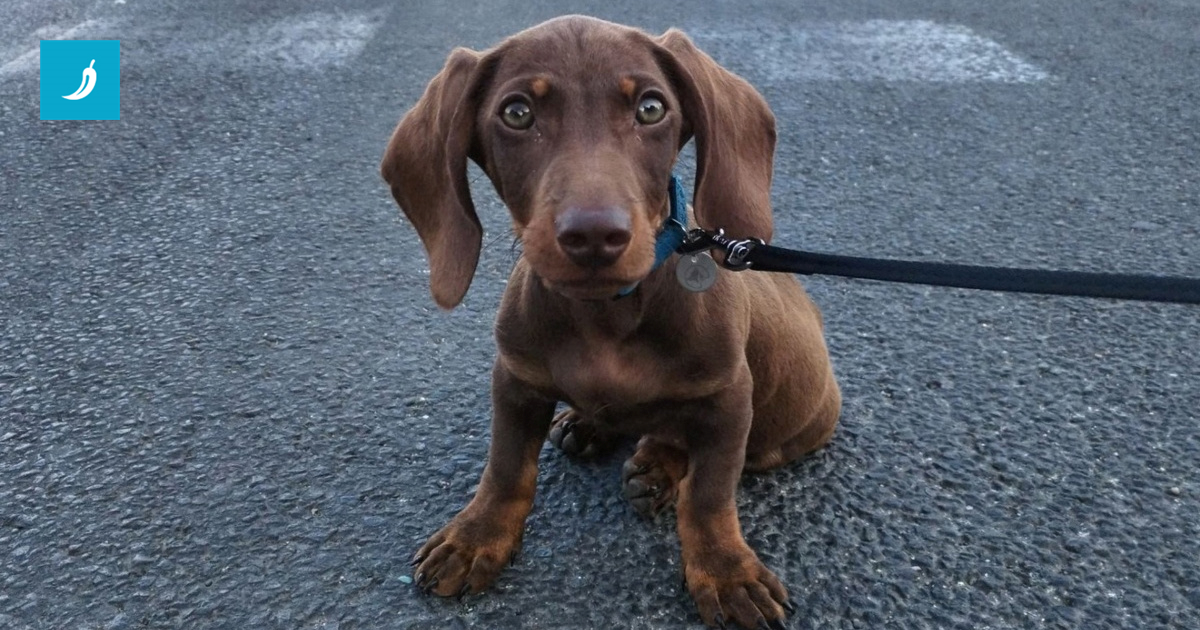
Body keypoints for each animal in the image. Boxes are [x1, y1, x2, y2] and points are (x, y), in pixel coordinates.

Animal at [380, 15, 841, 629]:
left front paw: (725, 573)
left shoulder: (728, 400)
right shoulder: (515, 379)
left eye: (651, 108)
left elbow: (710, 495)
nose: (595, 236)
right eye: (517, 113)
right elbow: (505, 467)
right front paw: (476, 536)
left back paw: (656, 466)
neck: (605, 315)